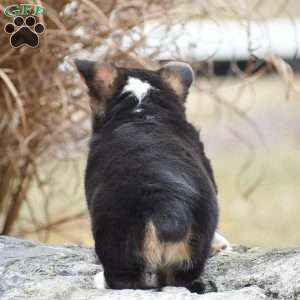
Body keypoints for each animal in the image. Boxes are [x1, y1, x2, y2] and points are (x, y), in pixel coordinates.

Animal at [75, 61, 218, 292]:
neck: (143, 109)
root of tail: (168, 208)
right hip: (193, 250)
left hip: (118, 245)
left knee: (124, 280)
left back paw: (101, 280)